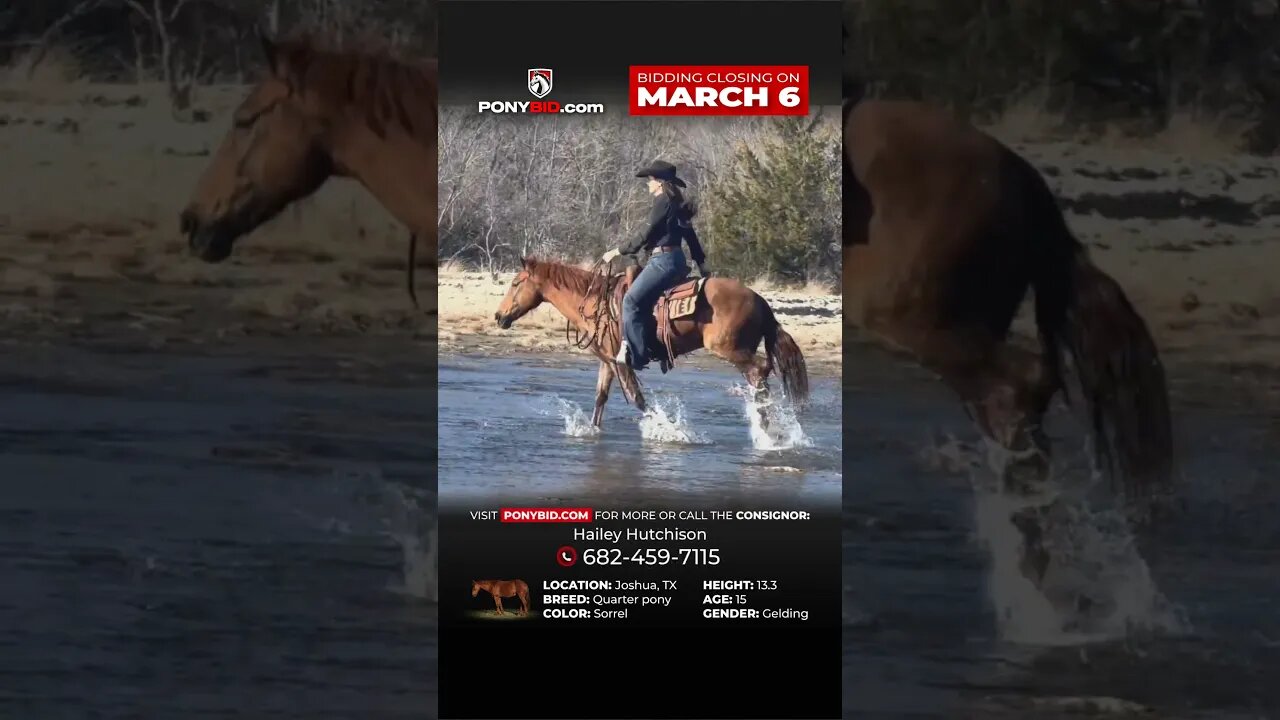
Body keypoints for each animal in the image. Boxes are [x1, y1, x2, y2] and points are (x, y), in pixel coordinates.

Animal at [493, 257, 810, 429]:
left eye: (515, 283)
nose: (498, 316)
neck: (595, 302)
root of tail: (761, 301)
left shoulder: (622, 361)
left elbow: (638, 399)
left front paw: (667, 429)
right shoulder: (608, 361)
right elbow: (600, 398)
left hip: (730, 349)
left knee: (761, 370)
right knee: (760, 375)